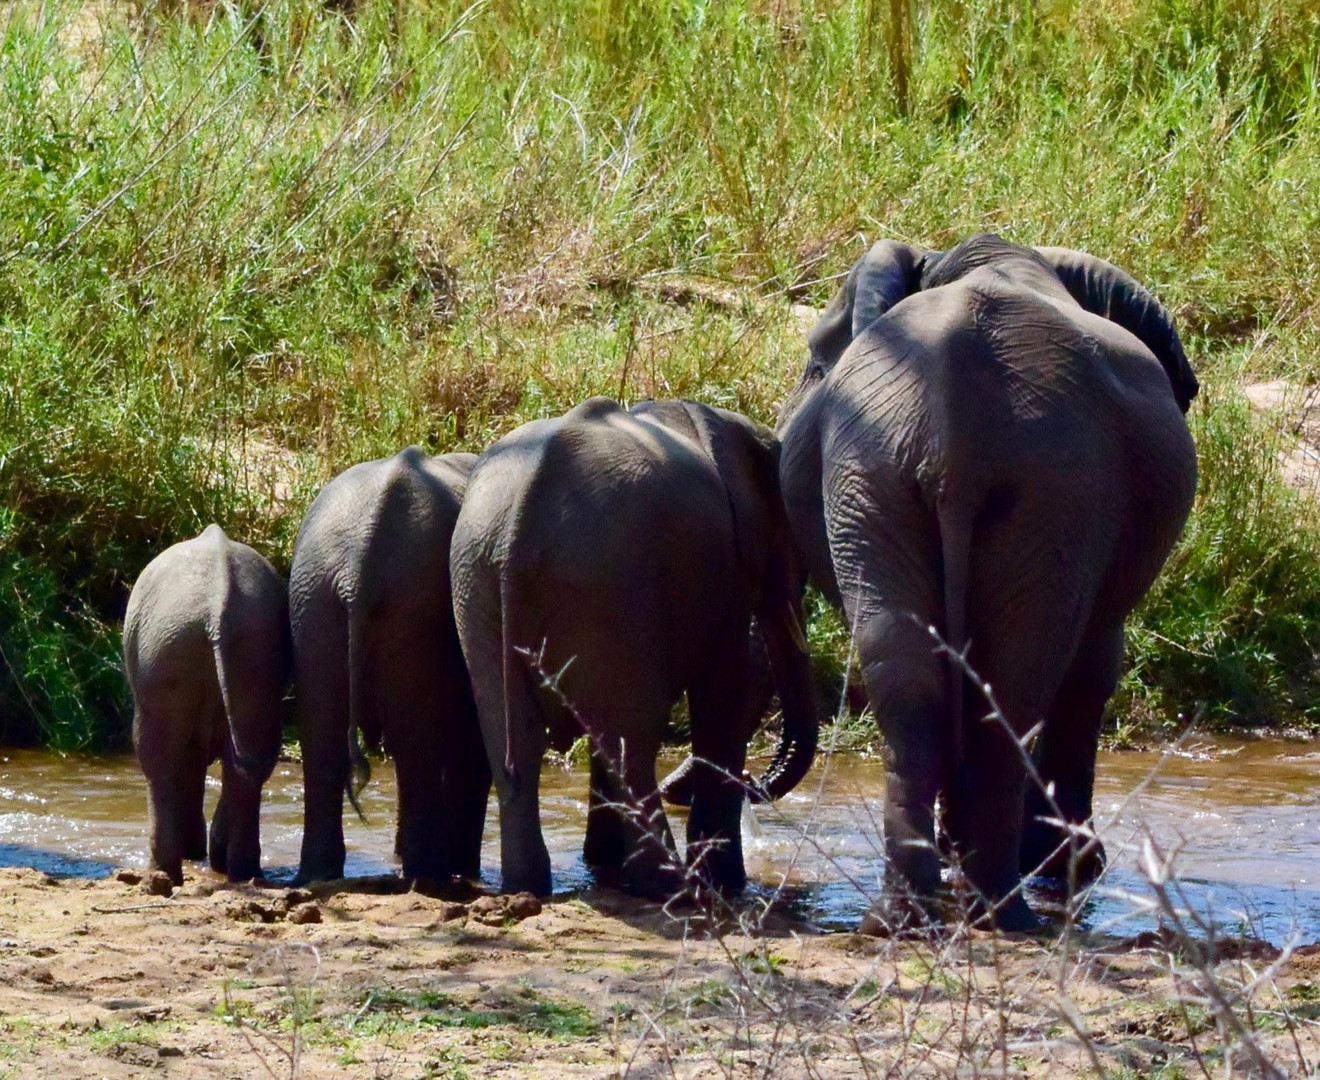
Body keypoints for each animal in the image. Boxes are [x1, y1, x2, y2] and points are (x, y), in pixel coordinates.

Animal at [122, 522, 291, 881]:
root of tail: (217, 608)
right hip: (252, 654)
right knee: (251, 759)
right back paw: (240, 872)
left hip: (163, 653)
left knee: (157, 759)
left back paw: (165, 873)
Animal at [291, 446, 493, 881]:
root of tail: (358, 566)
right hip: (410, 606)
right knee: (415, 745)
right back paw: (430, 875)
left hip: (314, 597)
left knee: (323, 737)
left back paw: (321, 874)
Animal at [451, 398, 813, 897]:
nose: (753, 781)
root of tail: (516, 526)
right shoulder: (728, 571)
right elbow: (723, 693)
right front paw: (727, 885)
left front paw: (602, 862)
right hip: (604, 583)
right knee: (632, 747)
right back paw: (667, 888)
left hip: (477, 581)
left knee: (518, 744)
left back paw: (530, 887)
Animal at [776, 233, 1203, 924]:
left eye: (815, 364)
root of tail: (954, 436)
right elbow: (1093, 670)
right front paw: (1070, 867)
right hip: (1050, 488)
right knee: (1017, 678)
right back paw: (1002, 907)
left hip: (877, 474)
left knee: (908, 671)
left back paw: (908, 913)